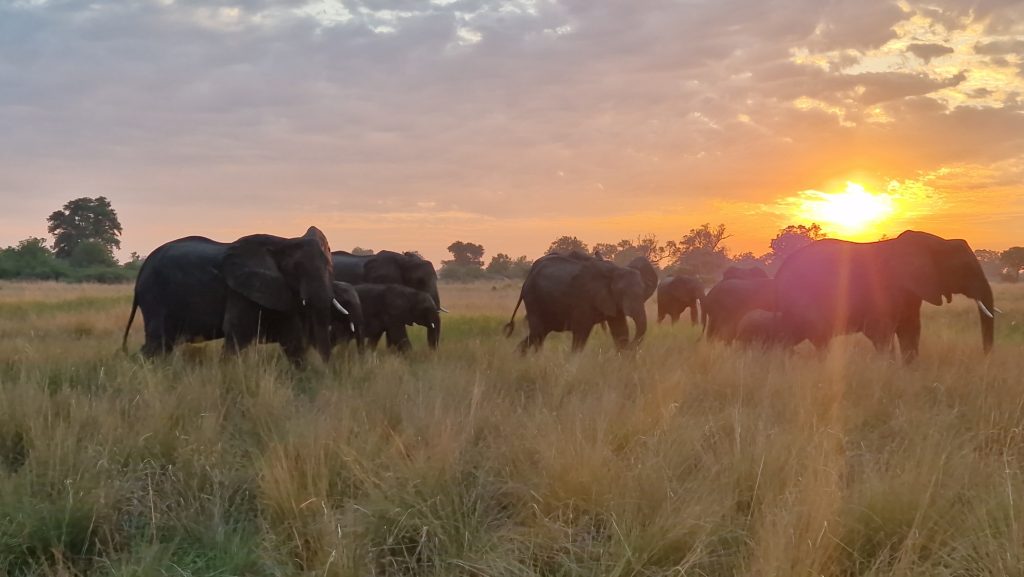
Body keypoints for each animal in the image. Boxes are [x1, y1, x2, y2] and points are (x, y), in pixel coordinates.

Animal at [122, 227, 344, 365]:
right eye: (297, 269)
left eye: (331, 268)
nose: (328, 370)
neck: (283, 242)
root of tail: (141, 271)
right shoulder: (240, 290)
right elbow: (238, 333)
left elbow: (292, 339)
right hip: (155, 297)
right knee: (156, 344)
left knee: (163, 345)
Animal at [504, 251, 658, 353]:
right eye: (623, 293)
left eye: (643, 292)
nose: (633, 347)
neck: (614, 271)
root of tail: (527, 278)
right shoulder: (584, 298)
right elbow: (581, 333)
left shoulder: (612, 302)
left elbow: (620, 330)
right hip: (533, 298)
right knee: (538, 334)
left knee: (538, 334)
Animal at [774, 230, 995, 361]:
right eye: (965, 269)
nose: (985, 358)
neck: (934, 241)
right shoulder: (885, 290)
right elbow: (879, 331)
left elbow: (910, 329)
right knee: (817, 337)